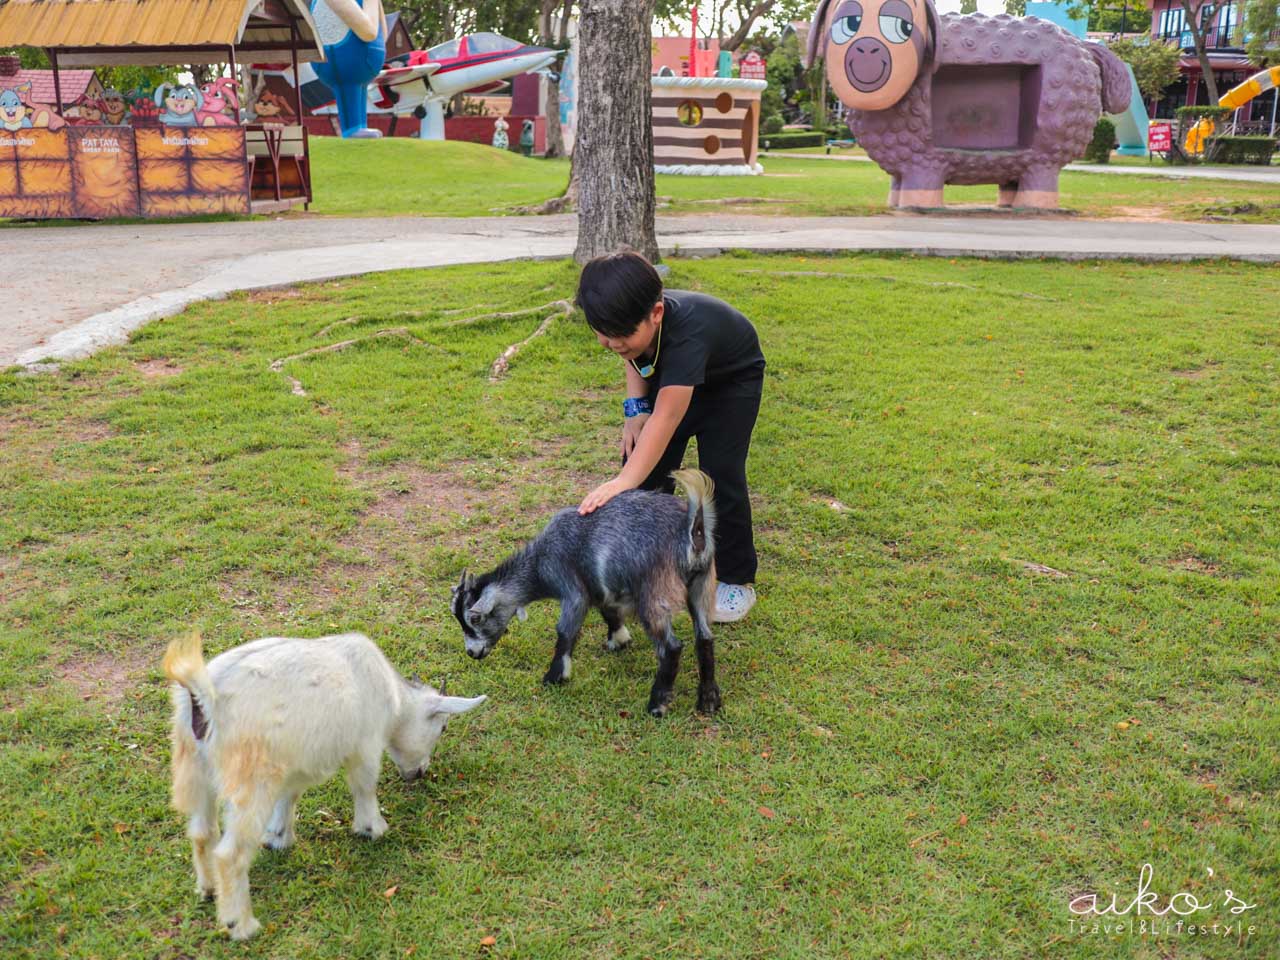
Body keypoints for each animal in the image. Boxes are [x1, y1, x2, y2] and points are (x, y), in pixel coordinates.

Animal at [165, 632, 483, 942]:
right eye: (442, 727)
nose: (419, 773)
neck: (393, 696)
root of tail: (204, 697)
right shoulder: (366, 746)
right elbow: (365, 785)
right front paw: (373, 828)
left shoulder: (293, 765)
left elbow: (289, 796)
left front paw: (279, 837)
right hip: (252, 780)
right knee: (231, 854)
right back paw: (241, 925)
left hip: (197, 770)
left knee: (202, 832)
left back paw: (209, 890)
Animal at [455, 471, 721, 716]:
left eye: (475, 618)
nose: (471, 653)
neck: (539, 564)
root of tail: (692, 532)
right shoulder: (600, 587)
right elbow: (608, 612)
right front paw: (619, 639)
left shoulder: (572, 590)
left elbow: (565, 632)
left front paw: (555, 677)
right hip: (701, 585)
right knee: (705, 638)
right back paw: (708, 701)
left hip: (655, 593)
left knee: (671, 647)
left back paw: (657, 705)